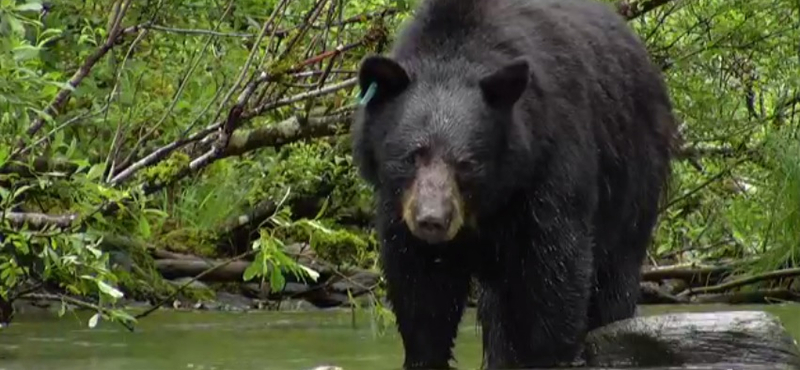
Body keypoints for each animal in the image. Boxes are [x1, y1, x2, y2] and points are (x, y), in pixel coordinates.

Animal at [350, 0, 676, 368]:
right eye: (413, 155)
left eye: (467, 163)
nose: (432, 220)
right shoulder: (399, 206)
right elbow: (421, 289)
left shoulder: (550, 164)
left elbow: (556, 271)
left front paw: (551, 354)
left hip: (633, 175)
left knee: (614, 274)